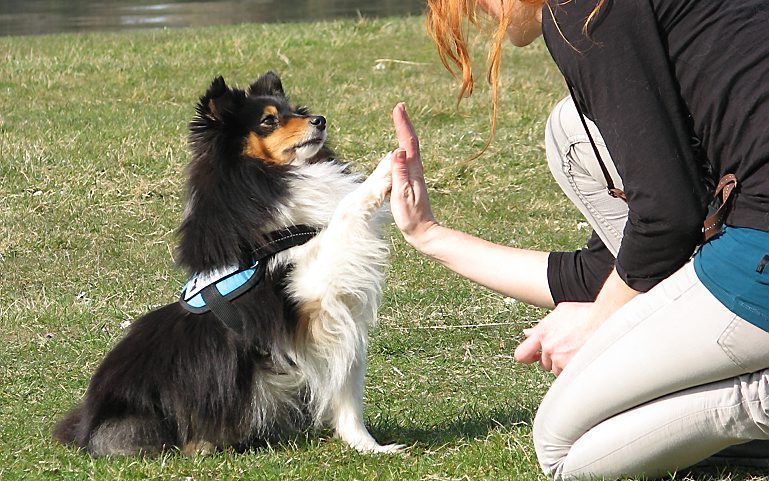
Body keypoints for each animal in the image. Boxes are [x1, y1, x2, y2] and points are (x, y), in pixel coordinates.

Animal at [54, 71, 402, 454]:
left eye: (295, 111)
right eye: (269, 120)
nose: (320, 120)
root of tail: (85, 429)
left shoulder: (334, 315)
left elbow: (348, 392)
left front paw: (370, 447)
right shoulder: (306, 286)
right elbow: (343, 213)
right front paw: (388, 166)